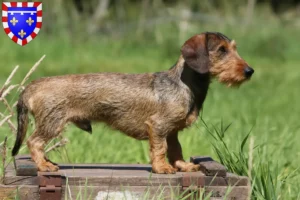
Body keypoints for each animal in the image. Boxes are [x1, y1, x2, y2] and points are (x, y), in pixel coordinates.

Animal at [11, 31, 253, 173]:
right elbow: (160, 149)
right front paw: (162, 168)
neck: (182, 83)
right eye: (221, 50)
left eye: (234, 48)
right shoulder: (158, 127)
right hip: (52, 123)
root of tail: (32, 86)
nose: (249, 71)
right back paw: (43, 165)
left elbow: (176, 150)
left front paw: (182, 166)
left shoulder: (172, 131)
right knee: (34, 142)